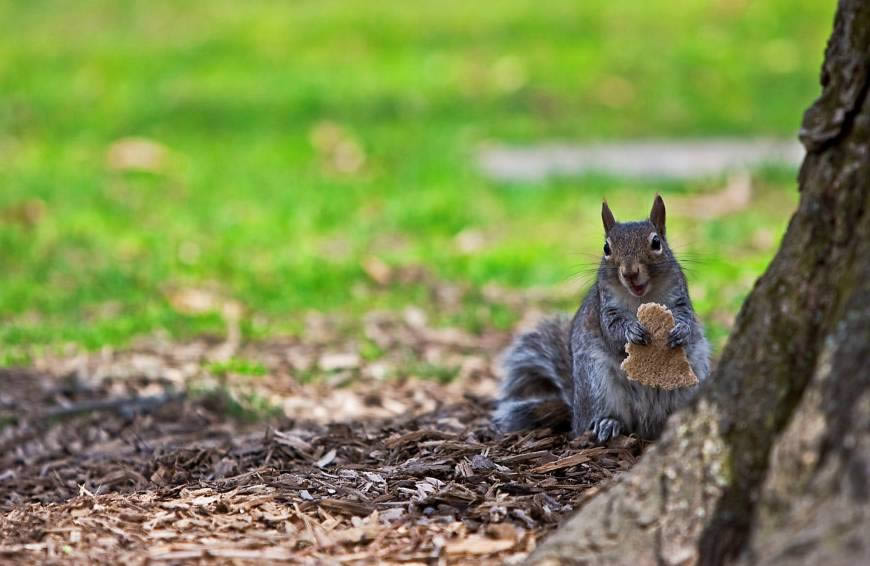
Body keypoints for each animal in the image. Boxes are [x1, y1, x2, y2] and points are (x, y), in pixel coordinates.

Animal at [494, 197, 712, 446]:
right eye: (606, 248)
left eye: (656, 242)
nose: (630, 272)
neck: (641, 297)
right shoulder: (605, 306)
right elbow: (611, 330)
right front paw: (631, 331)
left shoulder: (679, 297)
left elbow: (688, 319)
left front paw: (681, 331)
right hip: (595, 383)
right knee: (593, 423)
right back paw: (607, 423)